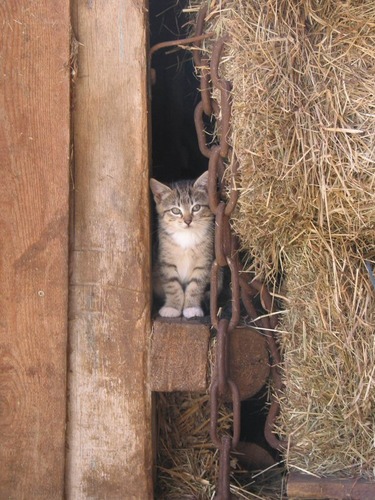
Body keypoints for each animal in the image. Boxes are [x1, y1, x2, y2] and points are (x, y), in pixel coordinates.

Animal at [150, 170, 214, 318]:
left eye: (196, 208)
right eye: (175, 210)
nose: (188, 221)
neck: (186, 236)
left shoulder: (204, 261)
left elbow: (196, 286)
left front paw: (192, 308)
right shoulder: (165, 261)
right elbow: (172, 286)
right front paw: (172, 307)